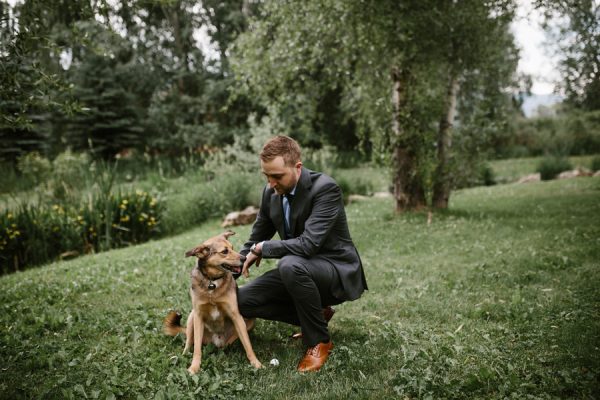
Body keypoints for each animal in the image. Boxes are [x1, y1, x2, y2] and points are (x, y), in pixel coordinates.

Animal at [163, 230, 262, 374]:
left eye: (232, 248)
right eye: (224, 251)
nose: (244, 259)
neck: (212, 283)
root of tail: (216, 342)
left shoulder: (236, 316)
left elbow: (247, 344)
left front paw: (256, 363)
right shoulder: (198, 316)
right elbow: (197, 349)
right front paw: (194, 367)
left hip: (248, 321)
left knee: (230, 342)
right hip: (192, 317)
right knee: (189, 341)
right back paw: (184, 354)